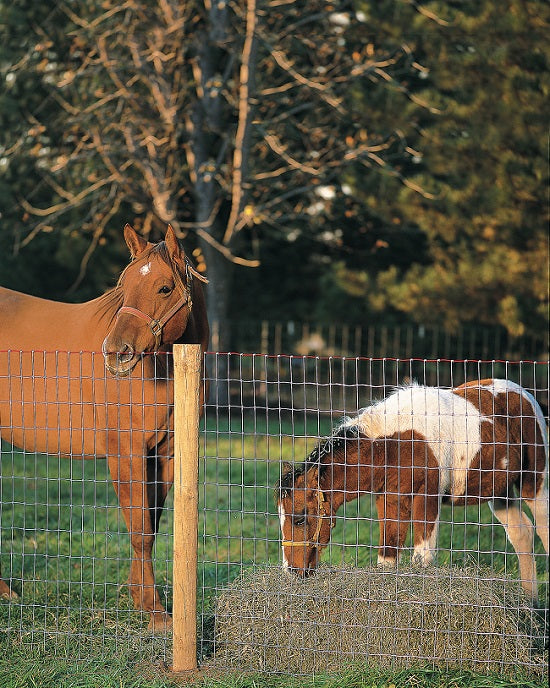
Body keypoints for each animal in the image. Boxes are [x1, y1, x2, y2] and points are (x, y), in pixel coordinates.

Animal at [0, 223, 209, 630]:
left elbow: (151, 526)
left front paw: (140, 599)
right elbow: (140, 528)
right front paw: (155, 611)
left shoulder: (163, 454)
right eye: (123, 286)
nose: (116, 353)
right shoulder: (125, 452)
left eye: (164, 288)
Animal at [277, 379, 549, 601]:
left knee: (542, 529)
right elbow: (387, 558)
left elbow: (422, 559)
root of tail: (524, 394)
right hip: (499, 492)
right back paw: (530, 604)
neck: (394, 444)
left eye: (300, 519)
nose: (292, 571)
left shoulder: (426, 500)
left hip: (534, 483)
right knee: (522, 534)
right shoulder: (388, 501)